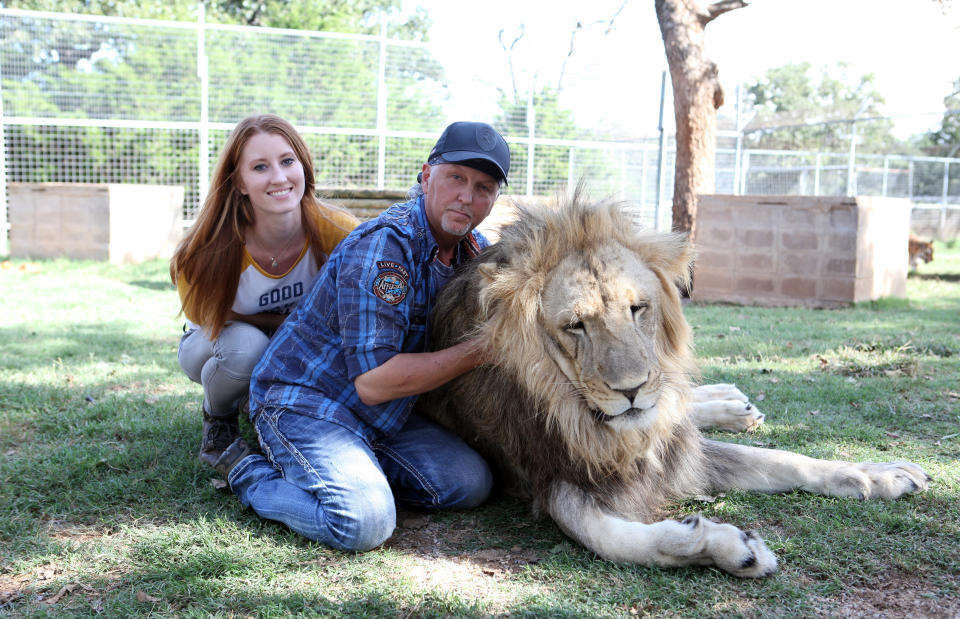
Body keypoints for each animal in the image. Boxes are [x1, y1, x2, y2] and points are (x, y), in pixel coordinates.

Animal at [420, 193, 928, 576]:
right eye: (576, 325)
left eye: (637, 308)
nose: (631, 390)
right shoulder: (548, 470)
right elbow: (613, 539)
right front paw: (731, 547)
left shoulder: (670, 444)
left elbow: (781, 460)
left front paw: (877, 474)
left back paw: (733, 405)